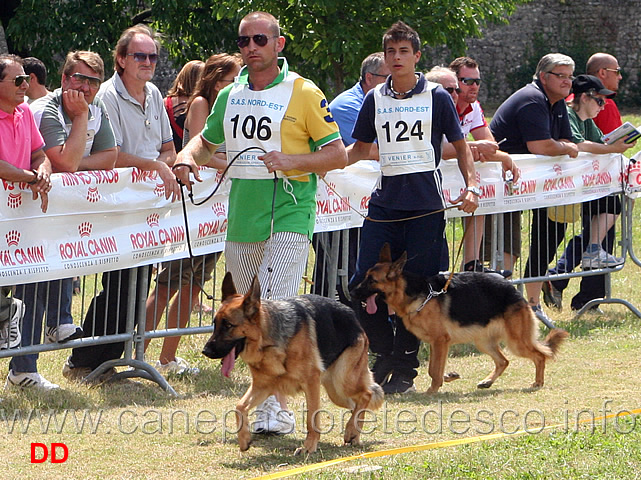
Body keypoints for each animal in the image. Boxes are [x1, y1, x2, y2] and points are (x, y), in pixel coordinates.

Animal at [201, 274, 380, 454]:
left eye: (228, 325)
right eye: (215, 324)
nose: (205, 351)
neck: (267, 341)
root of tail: (353, 316)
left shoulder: (311, 383)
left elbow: (312, 418)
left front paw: (309, 447)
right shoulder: (262, 387)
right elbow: (239, 407)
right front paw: (244, 439)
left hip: (342, 382)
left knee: (366, 394)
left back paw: (351, 430)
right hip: (336, 392)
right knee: (357, 403)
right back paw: (354, 433)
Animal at [350, 244, 568, 394]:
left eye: (372, 280)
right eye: (365, 276)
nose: (351, 292)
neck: (414, 294)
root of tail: (514, 290)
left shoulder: (440, 341)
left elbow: (434, 370)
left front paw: (432, 390)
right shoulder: (436, 344)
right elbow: (434, 368)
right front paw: (447, 377)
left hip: (516, 342)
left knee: (539, 356)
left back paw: (537, 382)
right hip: (483, 342)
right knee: (504, 361)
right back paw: (487, 381)